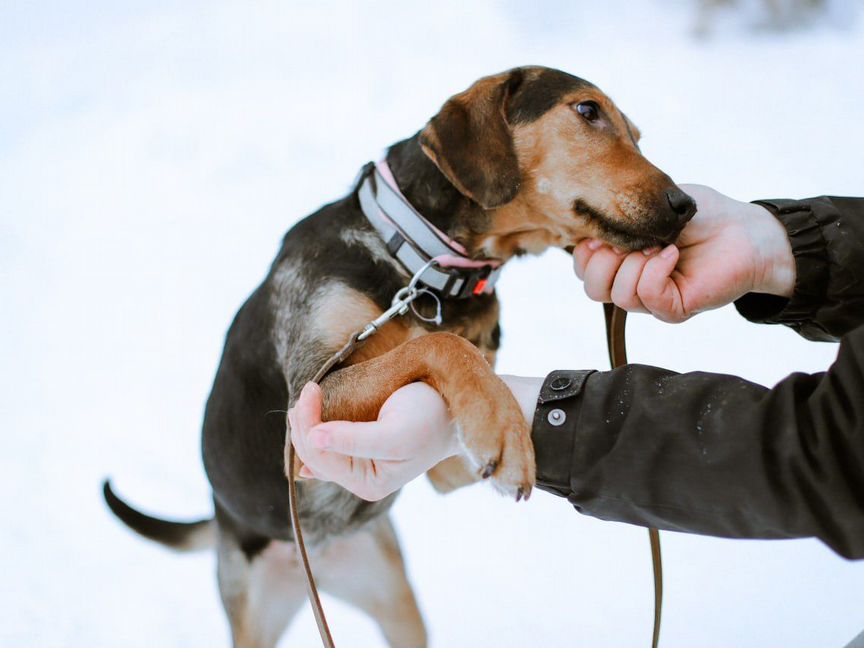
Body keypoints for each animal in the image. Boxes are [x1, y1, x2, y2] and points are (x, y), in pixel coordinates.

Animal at [104, 66, 696, 648]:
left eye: (637, 134)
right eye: (588, 111)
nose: (686, 206)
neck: (424, 269)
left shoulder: (446, 467)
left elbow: (451, 354)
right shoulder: (305, 406)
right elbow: (441, 344)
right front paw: (502, 428)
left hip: (395, 600)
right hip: (252, 609)